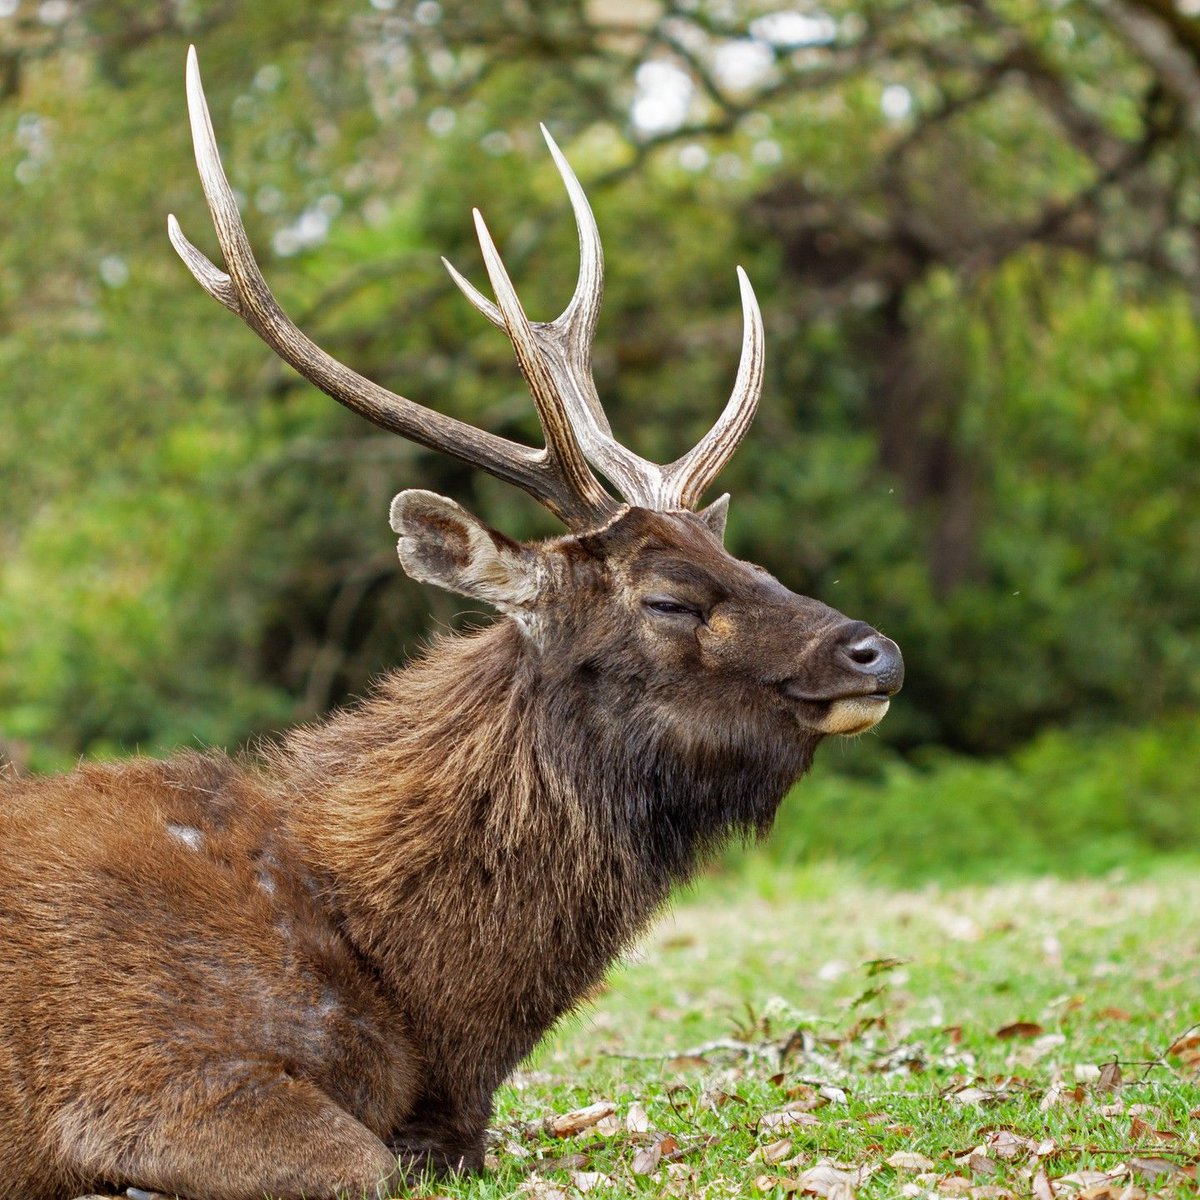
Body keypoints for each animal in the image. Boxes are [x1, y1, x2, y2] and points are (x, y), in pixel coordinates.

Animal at [0, 46, 902, 1200]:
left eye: (752, 561)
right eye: (668, 597)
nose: (875, 649)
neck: (415, 997)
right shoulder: (138, 1062)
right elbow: (359, 1162)